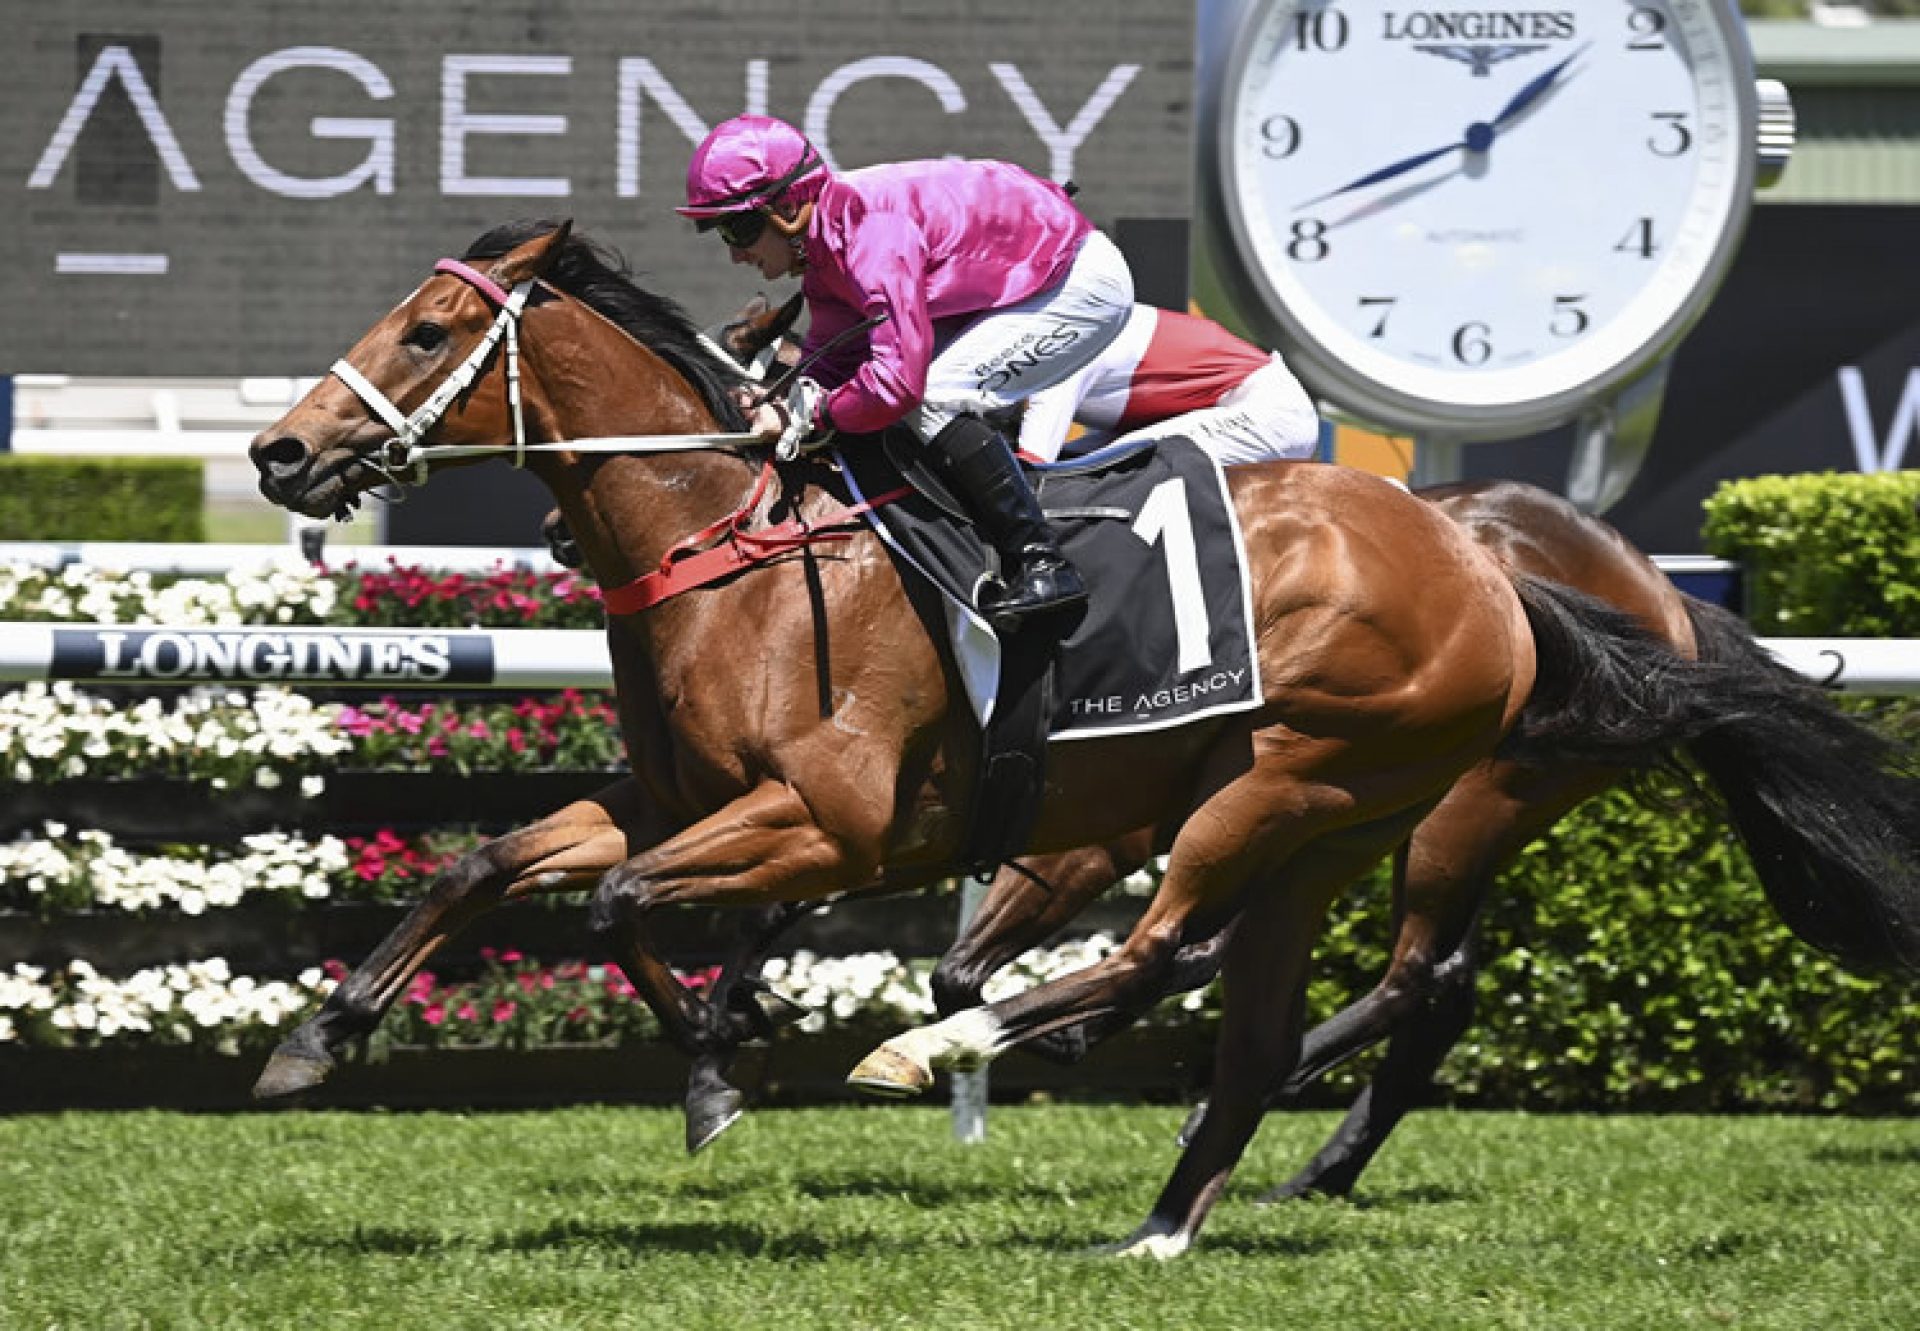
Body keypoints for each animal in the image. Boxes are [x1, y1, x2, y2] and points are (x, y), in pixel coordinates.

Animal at [247, 222, 1920, 1252]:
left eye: (433, 328)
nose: (279, 449)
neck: (739, 545)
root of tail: (1513, 572)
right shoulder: (674, 796)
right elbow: (491, 864)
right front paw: (316, 1038)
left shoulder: (832, 815)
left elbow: (612, 905)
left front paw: (728, 1060)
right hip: (1337, 819)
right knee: (1266, 1004)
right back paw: (1179, 1199)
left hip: (1318, 785)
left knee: (1207, 951)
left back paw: (961, 1052)